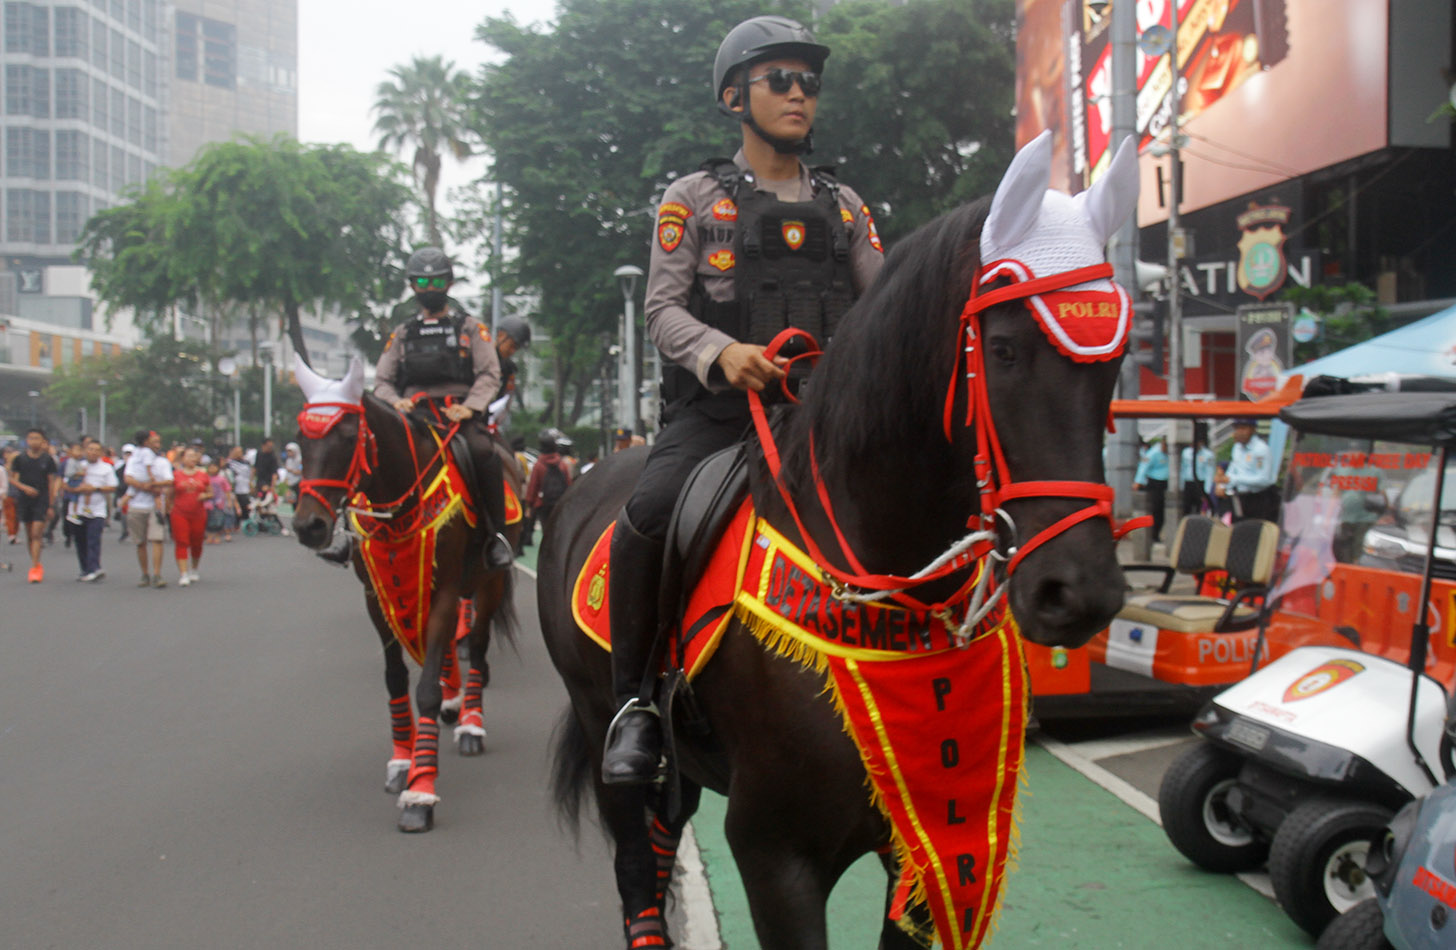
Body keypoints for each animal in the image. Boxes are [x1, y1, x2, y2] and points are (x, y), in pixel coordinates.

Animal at [288, 355, 518, 833]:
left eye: (348, 436)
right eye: (301, 438)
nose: (309, 526)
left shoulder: (446, 591)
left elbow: (426, 686)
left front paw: (420, 792)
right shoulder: (376, 597)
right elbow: (395, 678)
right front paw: (401, 762)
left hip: (488, 582)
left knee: (478, 648)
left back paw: (470, 723)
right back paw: (453, 704)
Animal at [541, 135, 1141, 950]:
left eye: (1117, 358)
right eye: (1006, 349)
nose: (1078, 592)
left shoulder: (927, 843)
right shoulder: (774, 851)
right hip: (601, 712)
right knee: (637, 856)